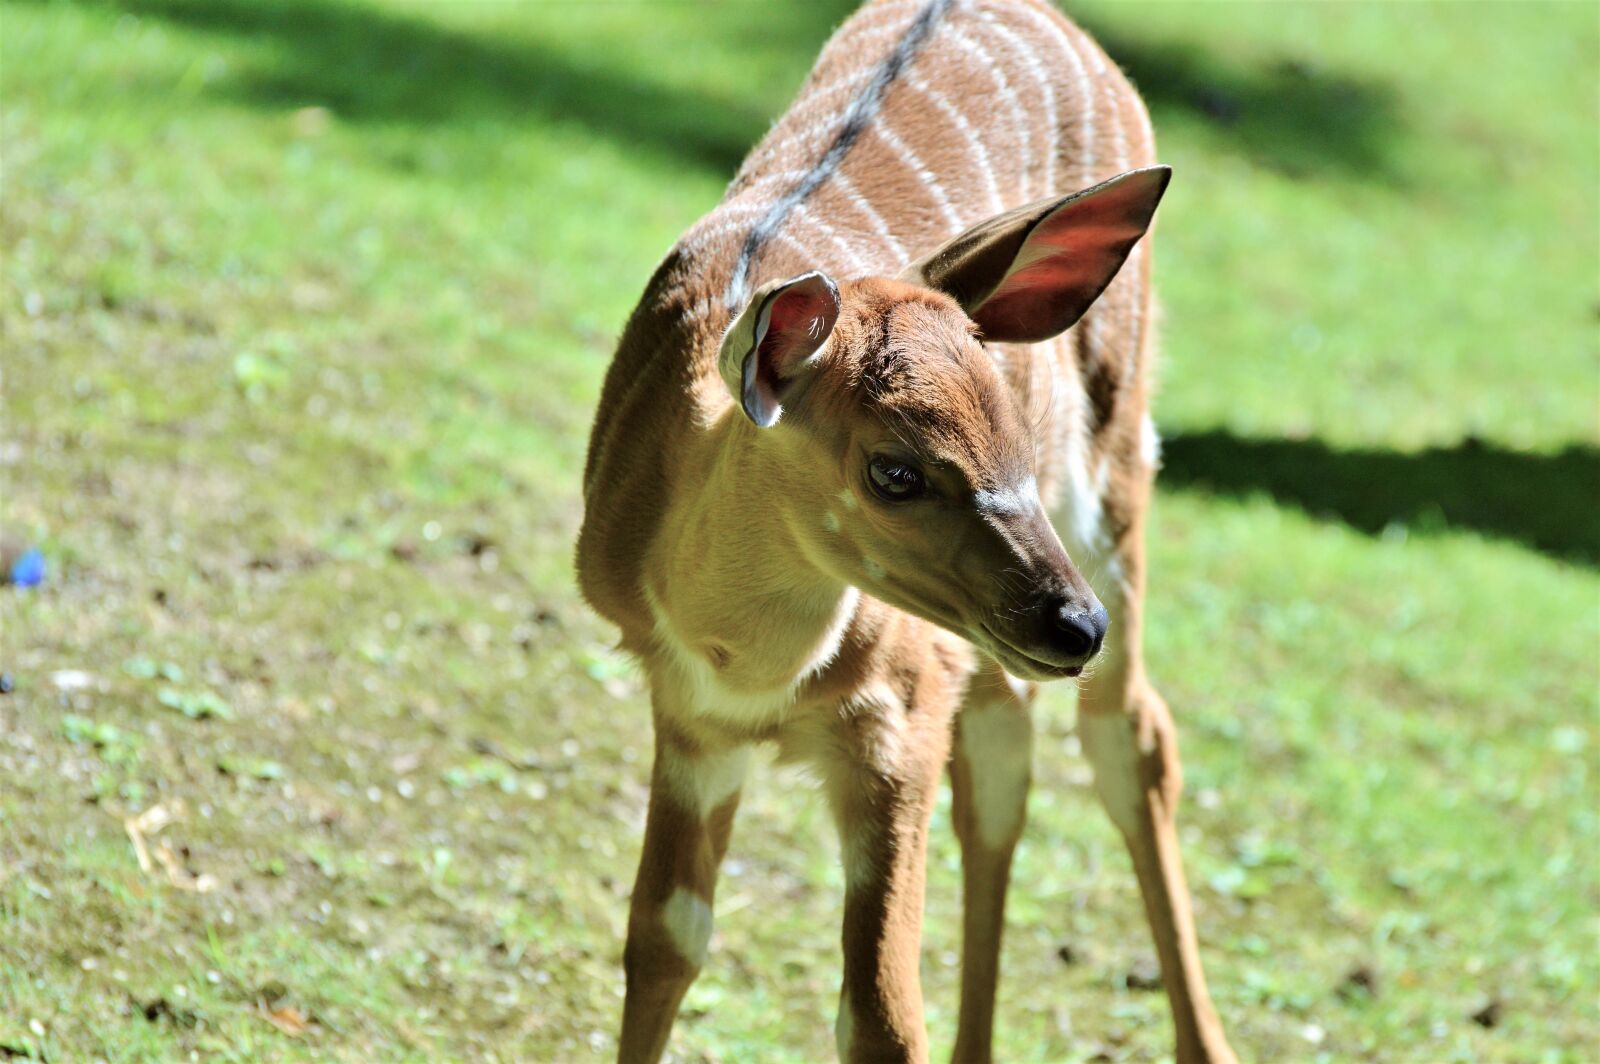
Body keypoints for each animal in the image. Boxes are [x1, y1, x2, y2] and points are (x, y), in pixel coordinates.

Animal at [577, 0, 1237, 1060]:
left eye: (1016, 435)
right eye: (894, 469)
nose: (1074, 625)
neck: (750, 665)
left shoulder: (897, 719)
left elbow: (881, 1012)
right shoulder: (690, 717)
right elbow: (664, 938)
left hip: (1116, 476)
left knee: (1131, 737)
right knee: (1006, 752)